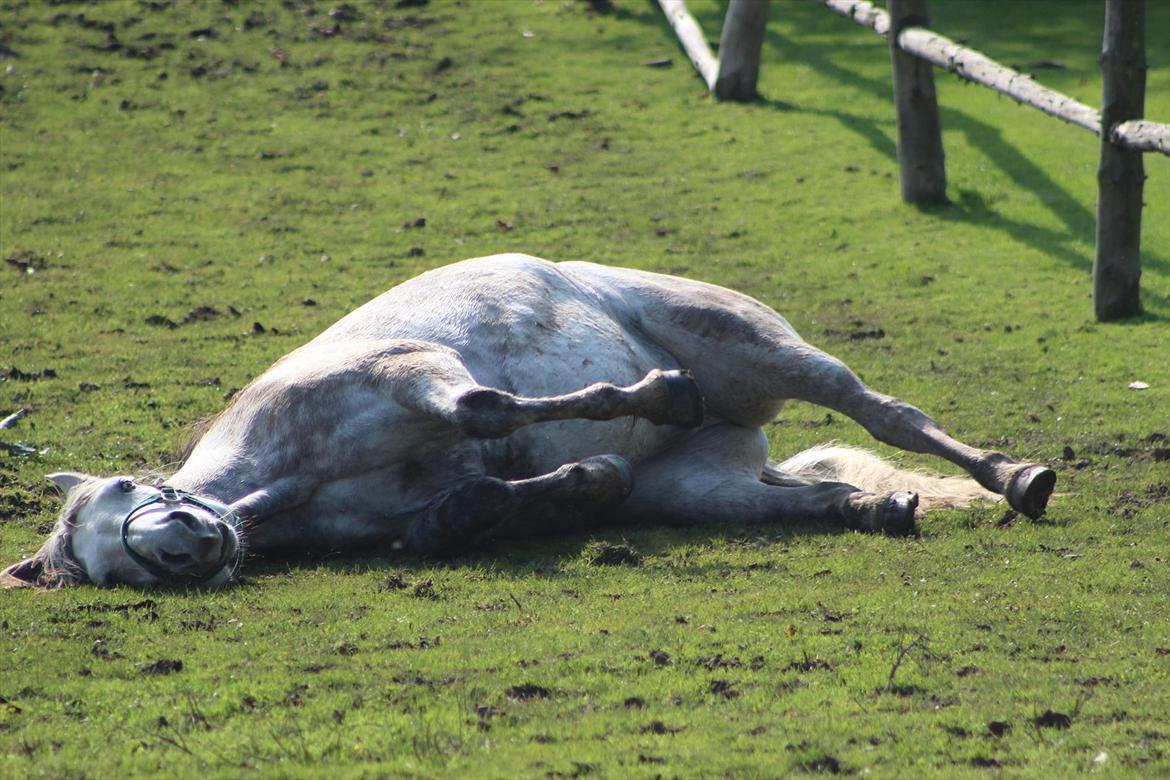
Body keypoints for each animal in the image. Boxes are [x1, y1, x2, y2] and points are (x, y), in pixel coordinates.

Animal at [2, 253, 1062, 589]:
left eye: (127, 489)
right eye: (100, 569)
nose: (188, 542)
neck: (282, 477)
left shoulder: (408, 373)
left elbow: (481, 406)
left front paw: (656, 397)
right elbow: (452, 516)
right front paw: (585, 483)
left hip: (760, 348)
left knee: (888, 416)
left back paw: (1018, 478)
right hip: (704, 487)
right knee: (809, 494)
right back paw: (875, 512)